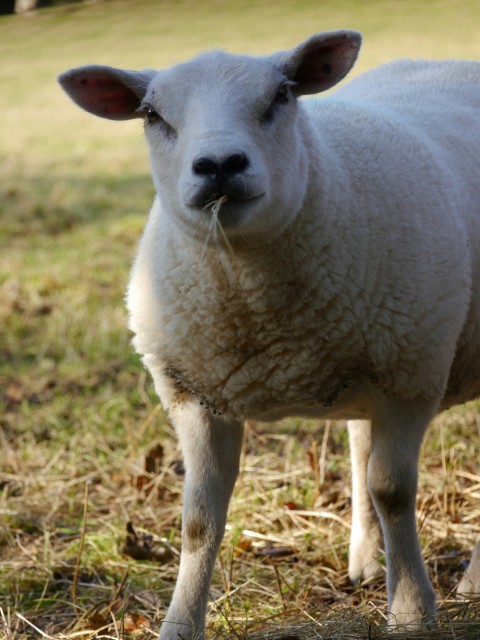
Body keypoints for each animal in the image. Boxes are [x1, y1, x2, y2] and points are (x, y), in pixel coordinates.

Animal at [59, 30, 480, 640]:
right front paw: (179, 623)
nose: (219, 165)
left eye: (281, 96)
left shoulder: (411, 377)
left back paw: (467, 584)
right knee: (359, 445)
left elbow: (393, 492)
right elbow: (198, 521)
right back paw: (365, 560)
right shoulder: (194, 396)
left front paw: (409, 611)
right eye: (152, 114)